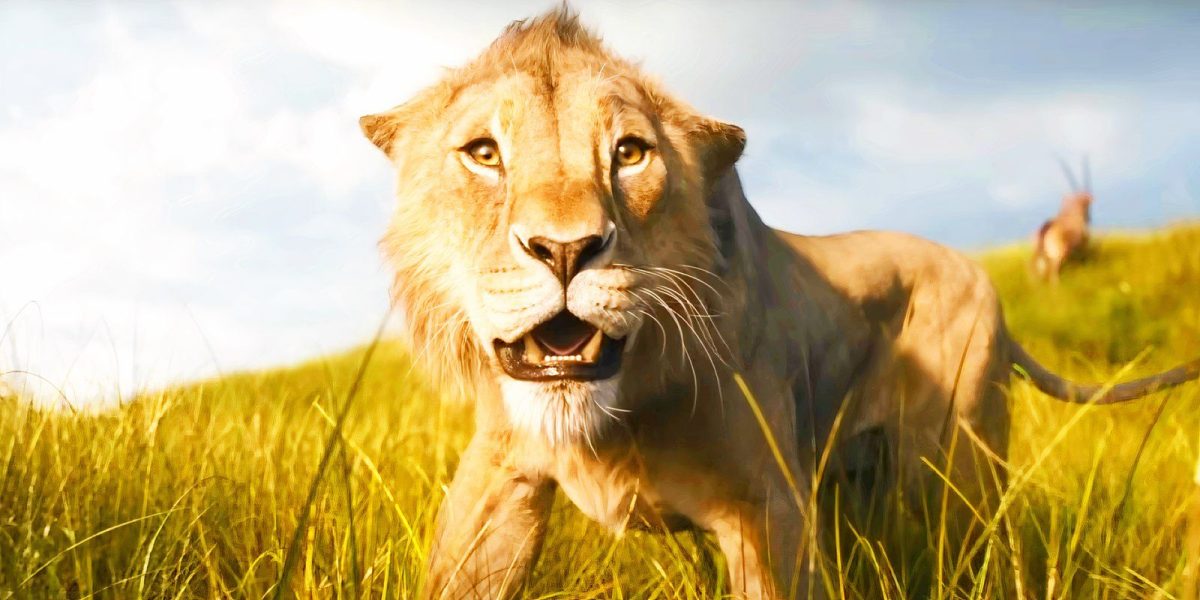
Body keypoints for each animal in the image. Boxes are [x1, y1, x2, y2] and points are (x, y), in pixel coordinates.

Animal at [359, 9, 1200, 599]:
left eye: (629, 153)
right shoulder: (496, 477)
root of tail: (981, 272)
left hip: (957, 463)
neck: (616, 412)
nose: (565, 250)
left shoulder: (769, 511)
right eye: (484, 153)